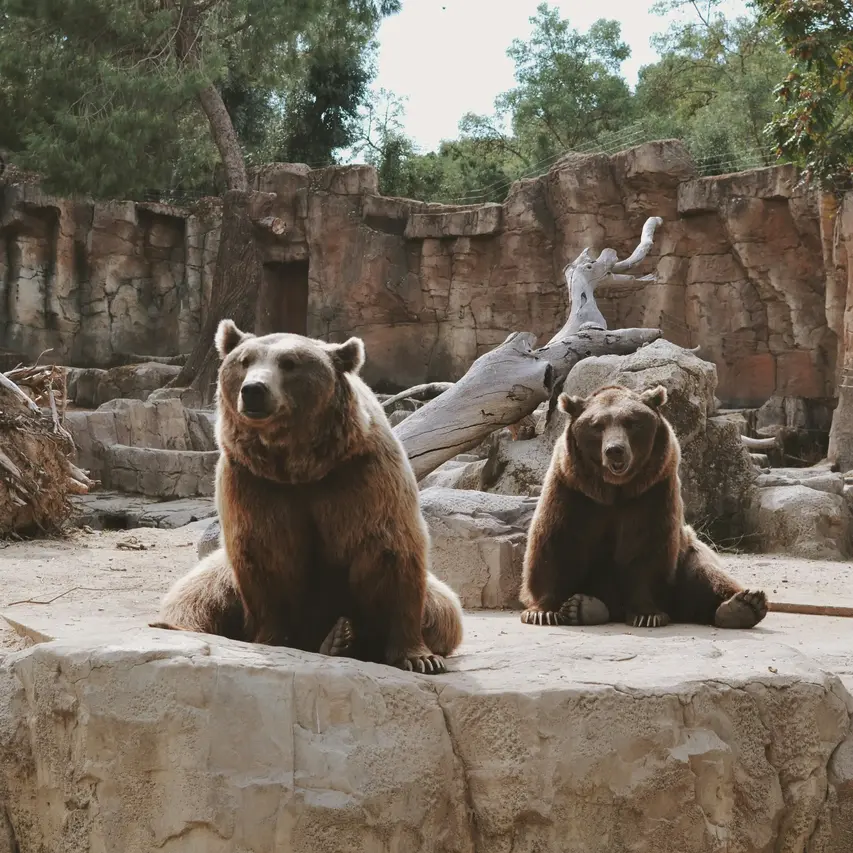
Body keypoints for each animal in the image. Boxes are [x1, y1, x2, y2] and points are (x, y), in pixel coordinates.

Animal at [516, 382, 768, 628]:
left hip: (687, 553)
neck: (614, 490)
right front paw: (542, 612)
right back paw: (581, 607)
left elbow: (647, 549)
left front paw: (648, 615)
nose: (615, 450)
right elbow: (555, 543)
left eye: (632, 422)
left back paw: (744, 605)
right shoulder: (573, 490)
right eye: (597, 425)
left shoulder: (651, 492)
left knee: (704, 572)